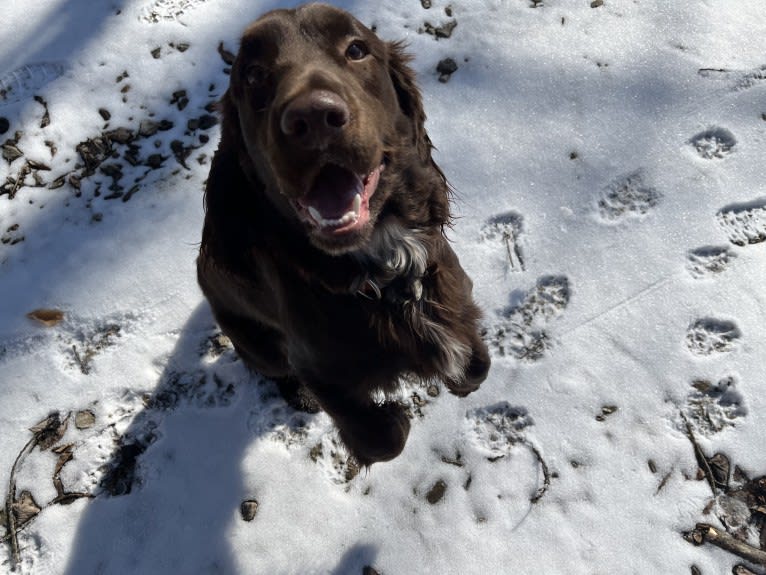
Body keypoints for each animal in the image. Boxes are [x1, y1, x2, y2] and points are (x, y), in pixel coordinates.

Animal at [198, 2, 492, 466]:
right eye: (254, 74)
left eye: (356, 49)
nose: (313, 117)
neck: (385, 270)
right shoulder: (318, 367)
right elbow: (382, 438)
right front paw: (393, 413)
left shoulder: (452, 290)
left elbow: (476, 364)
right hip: (253, 338)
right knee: (275, 370)